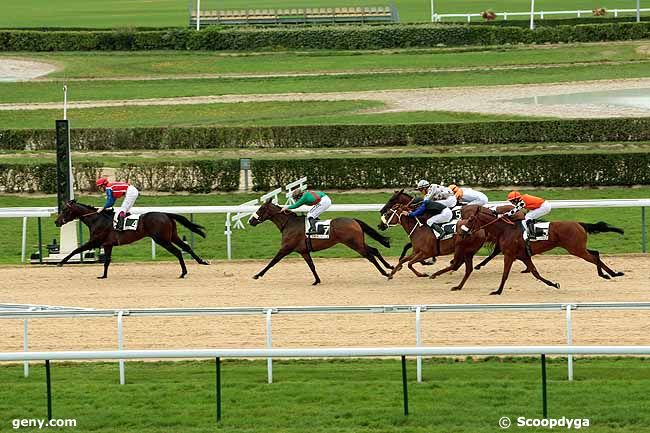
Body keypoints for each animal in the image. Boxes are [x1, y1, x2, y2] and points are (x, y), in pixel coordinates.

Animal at [55, 200, 209, 278]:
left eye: (65, 210)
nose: (56, 222)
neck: (96, 219)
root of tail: (166, 214)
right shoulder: (108, 244)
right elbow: (107, 261)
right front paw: (103, 276)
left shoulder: (95, 241)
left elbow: (76, 250)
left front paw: (61, 262)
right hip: (172, 236)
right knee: (186, 247)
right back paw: (202, 261)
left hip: (162, 239)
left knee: (177, 252)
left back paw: (183, 273)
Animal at [247, 198, 390, 284]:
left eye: (261, 209)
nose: (250, 221)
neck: (289, 224)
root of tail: (354, 220)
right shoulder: (303, 251)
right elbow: (311, 265)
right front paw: (317, 280)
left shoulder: (286, 248)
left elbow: (273, 261)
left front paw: (257, 275)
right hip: (358, 242)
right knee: (374, 250)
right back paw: (390, 266)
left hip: (354, 244)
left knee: (370, 256)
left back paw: (386, 273)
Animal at [460, 205, 624, 294]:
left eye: (470, 219)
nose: (462, 232)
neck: (506, 229)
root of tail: (579, 223)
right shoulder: (523, 256)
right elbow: (535, 272)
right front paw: (553, 284)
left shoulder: (509, 254)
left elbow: (505, 274)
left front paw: (497, 291)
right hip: (578, 247)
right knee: (595, 253)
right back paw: (612, 273)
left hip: (576, 249)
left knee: (594, 257)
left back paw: (607, 274)